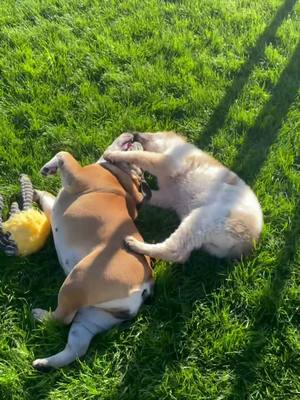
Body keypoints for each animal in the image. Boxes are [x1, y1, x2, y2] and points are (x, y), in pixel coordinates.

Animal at [32, 134, 152, 368]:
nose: (136, 135)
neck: (121, 176)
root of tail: (145, 286)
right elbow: (49, 200)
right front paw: (37, 193)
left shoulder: (77, 176)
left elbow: (64, 154)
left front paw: (48, 167)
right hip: (93, 317)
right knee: (77, 345)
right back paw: (44, 364)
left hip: (78, 280)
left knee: (62, 318)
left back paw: (39, 314)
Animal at [104, 131, 264, 262]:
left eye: (152, 133)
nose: (133, 133)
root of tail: (248, 244)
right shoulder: (167, 196)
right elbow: (144, 194)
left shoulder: (166, 163)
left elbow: (138, 156)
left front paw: (112, 155)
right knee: (183, 254)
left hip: (203, 218)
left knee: (175, 252)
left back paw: (135, 245)